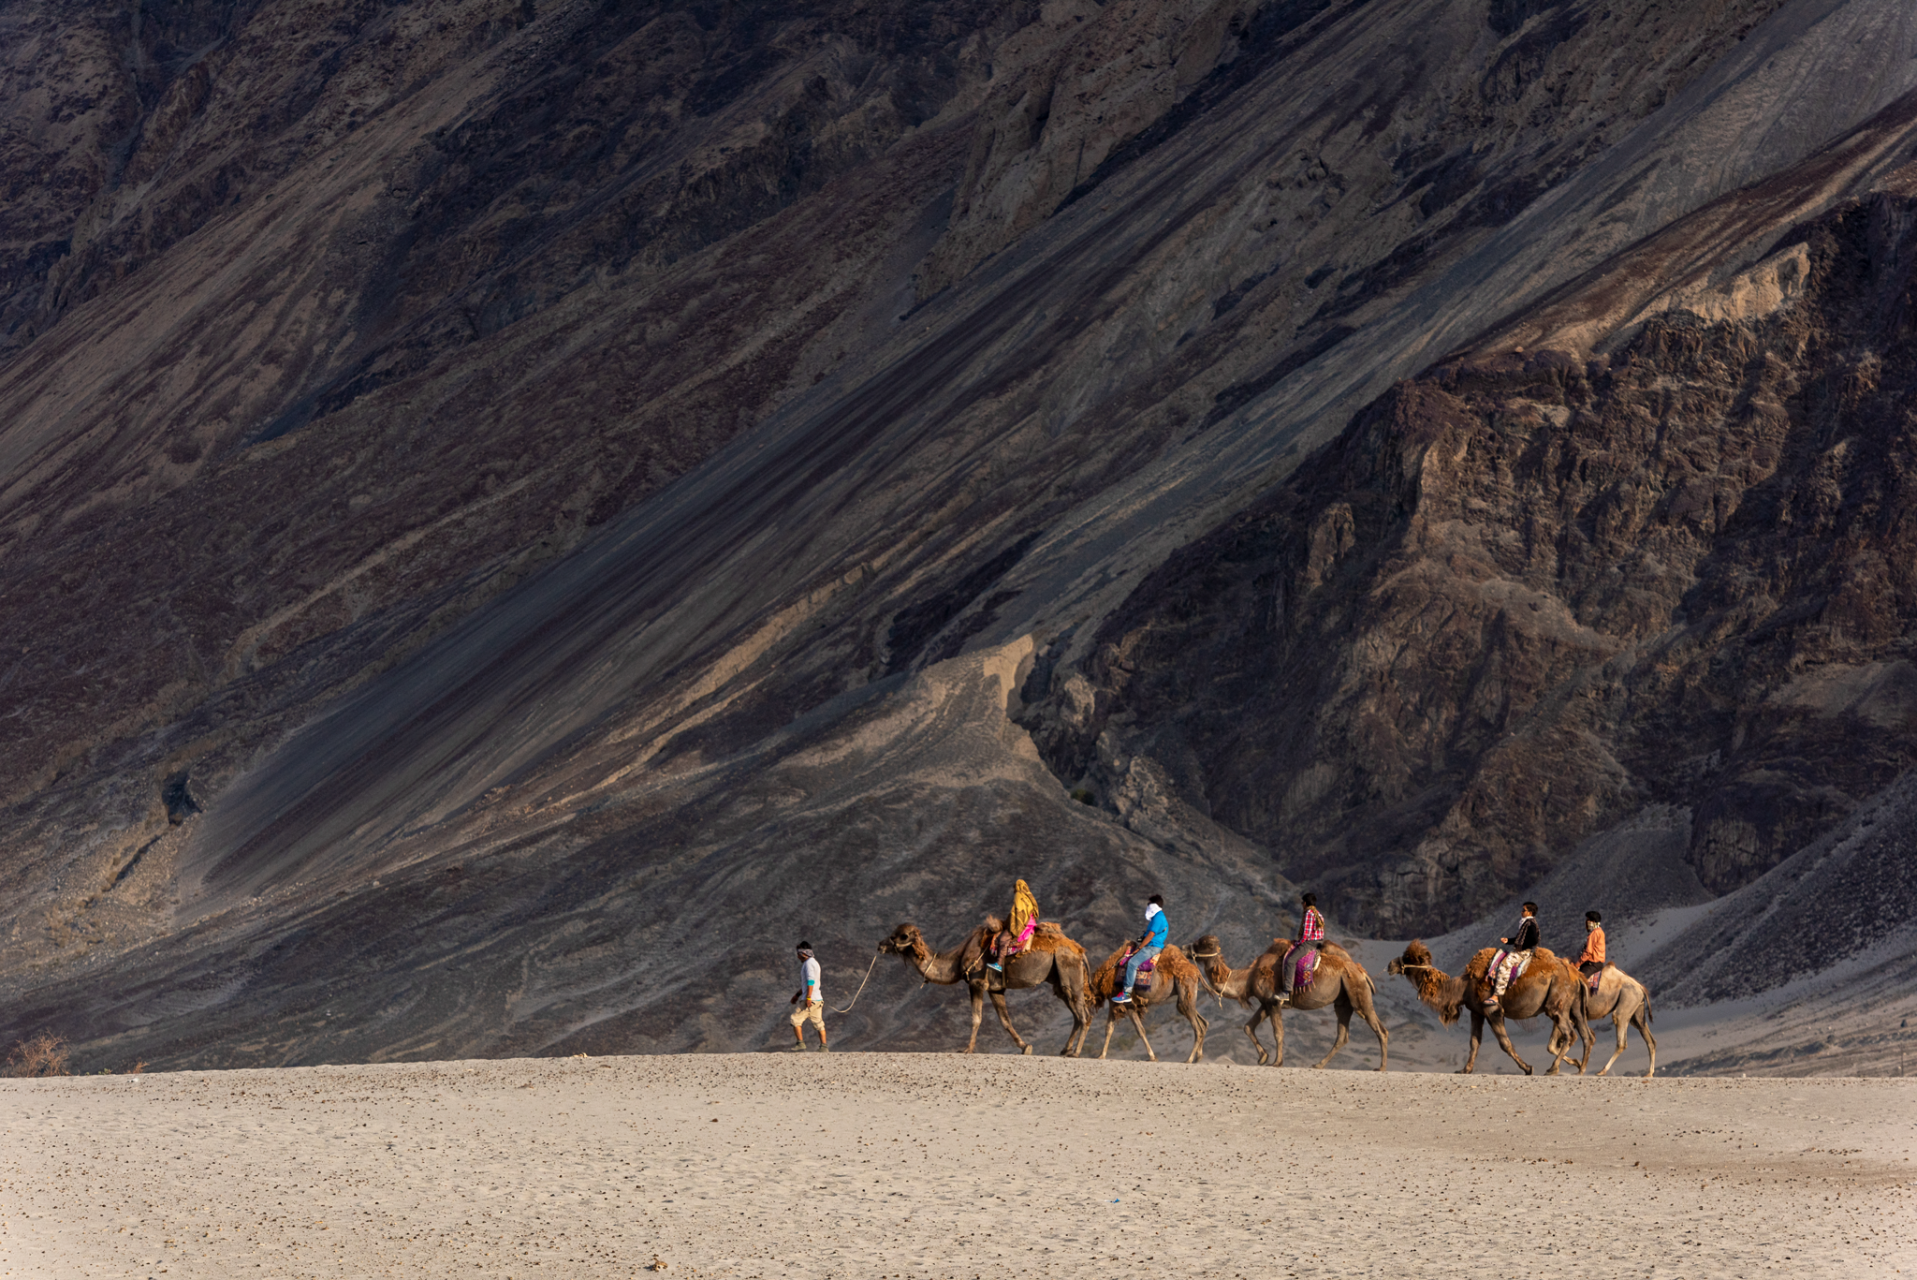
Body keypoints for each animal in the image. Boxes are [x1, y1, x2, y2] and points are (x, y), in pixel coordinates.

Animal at [877, 923, 1096, 1057]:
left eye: (903, 936)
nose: (881, 944)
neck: (958, 959)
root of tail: (1080, 952)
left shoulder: (976, 983)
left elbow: (976, 1018)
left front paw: (967, 1049)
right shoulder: (996, 989)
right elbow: (1005, 1021)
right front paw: (1025, 1046)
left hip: (1069, 973)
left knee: (1083, 1015)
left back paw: (1075, 1053)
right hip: (1060, 981)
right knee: (1076, 1014)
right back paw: (1065, 1050)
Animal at [1188, 931, 1387, 1073]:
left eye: (1201, 944)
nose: (1185, 947)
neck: (1249, 977)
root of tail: (1362, 972)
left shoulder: (1273, 1001)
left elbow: (1279, 1033)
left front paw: (1276, 1062)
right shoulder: (1265, 1003)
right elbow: (1248, 1026)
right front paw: (1263, 1057)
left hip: (1358, 993)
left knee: (1380, 1029)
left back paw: (1381, 1067)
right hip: (1343, 1001)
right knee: (1343, 1035)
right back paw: (1318, 1064)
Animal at [1395, 935, 1587, 1073]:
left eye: (1408, 957)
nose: (1391, 965)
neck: (1463, 986)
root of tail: (1575, 975)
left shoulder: (1492, 1009)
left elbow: (1504, 1043)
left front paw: (1527, 1068)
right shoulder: (1476, 1012)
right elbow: (1474, 1042)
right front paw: (1465, 1070)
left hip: (1557, 1003)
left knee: (1571, 1034)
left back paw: (1553, 1068)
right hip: (1572, 1005)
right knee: (1583, 1034)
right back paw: (1577, 1065)